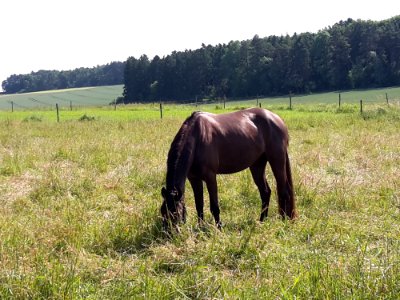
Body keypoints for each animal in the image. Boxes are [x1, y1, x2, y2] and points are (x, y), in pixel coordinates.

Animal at [160, 108, 296, 230]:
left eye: (176, 213)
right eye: (163, 212)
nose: (170, 234)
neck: (197, 138)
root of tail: (277, 119)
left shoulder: (210, 177)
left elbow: (214, 206)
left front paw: (219, 228)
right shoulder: (194, 179)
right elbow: (199, 205)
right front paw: (200, 228)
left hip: (277, 161)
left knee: (284, 192)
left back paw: (284, 223)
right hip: (257, 165)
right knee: (265, 192)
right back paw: (262, 221)